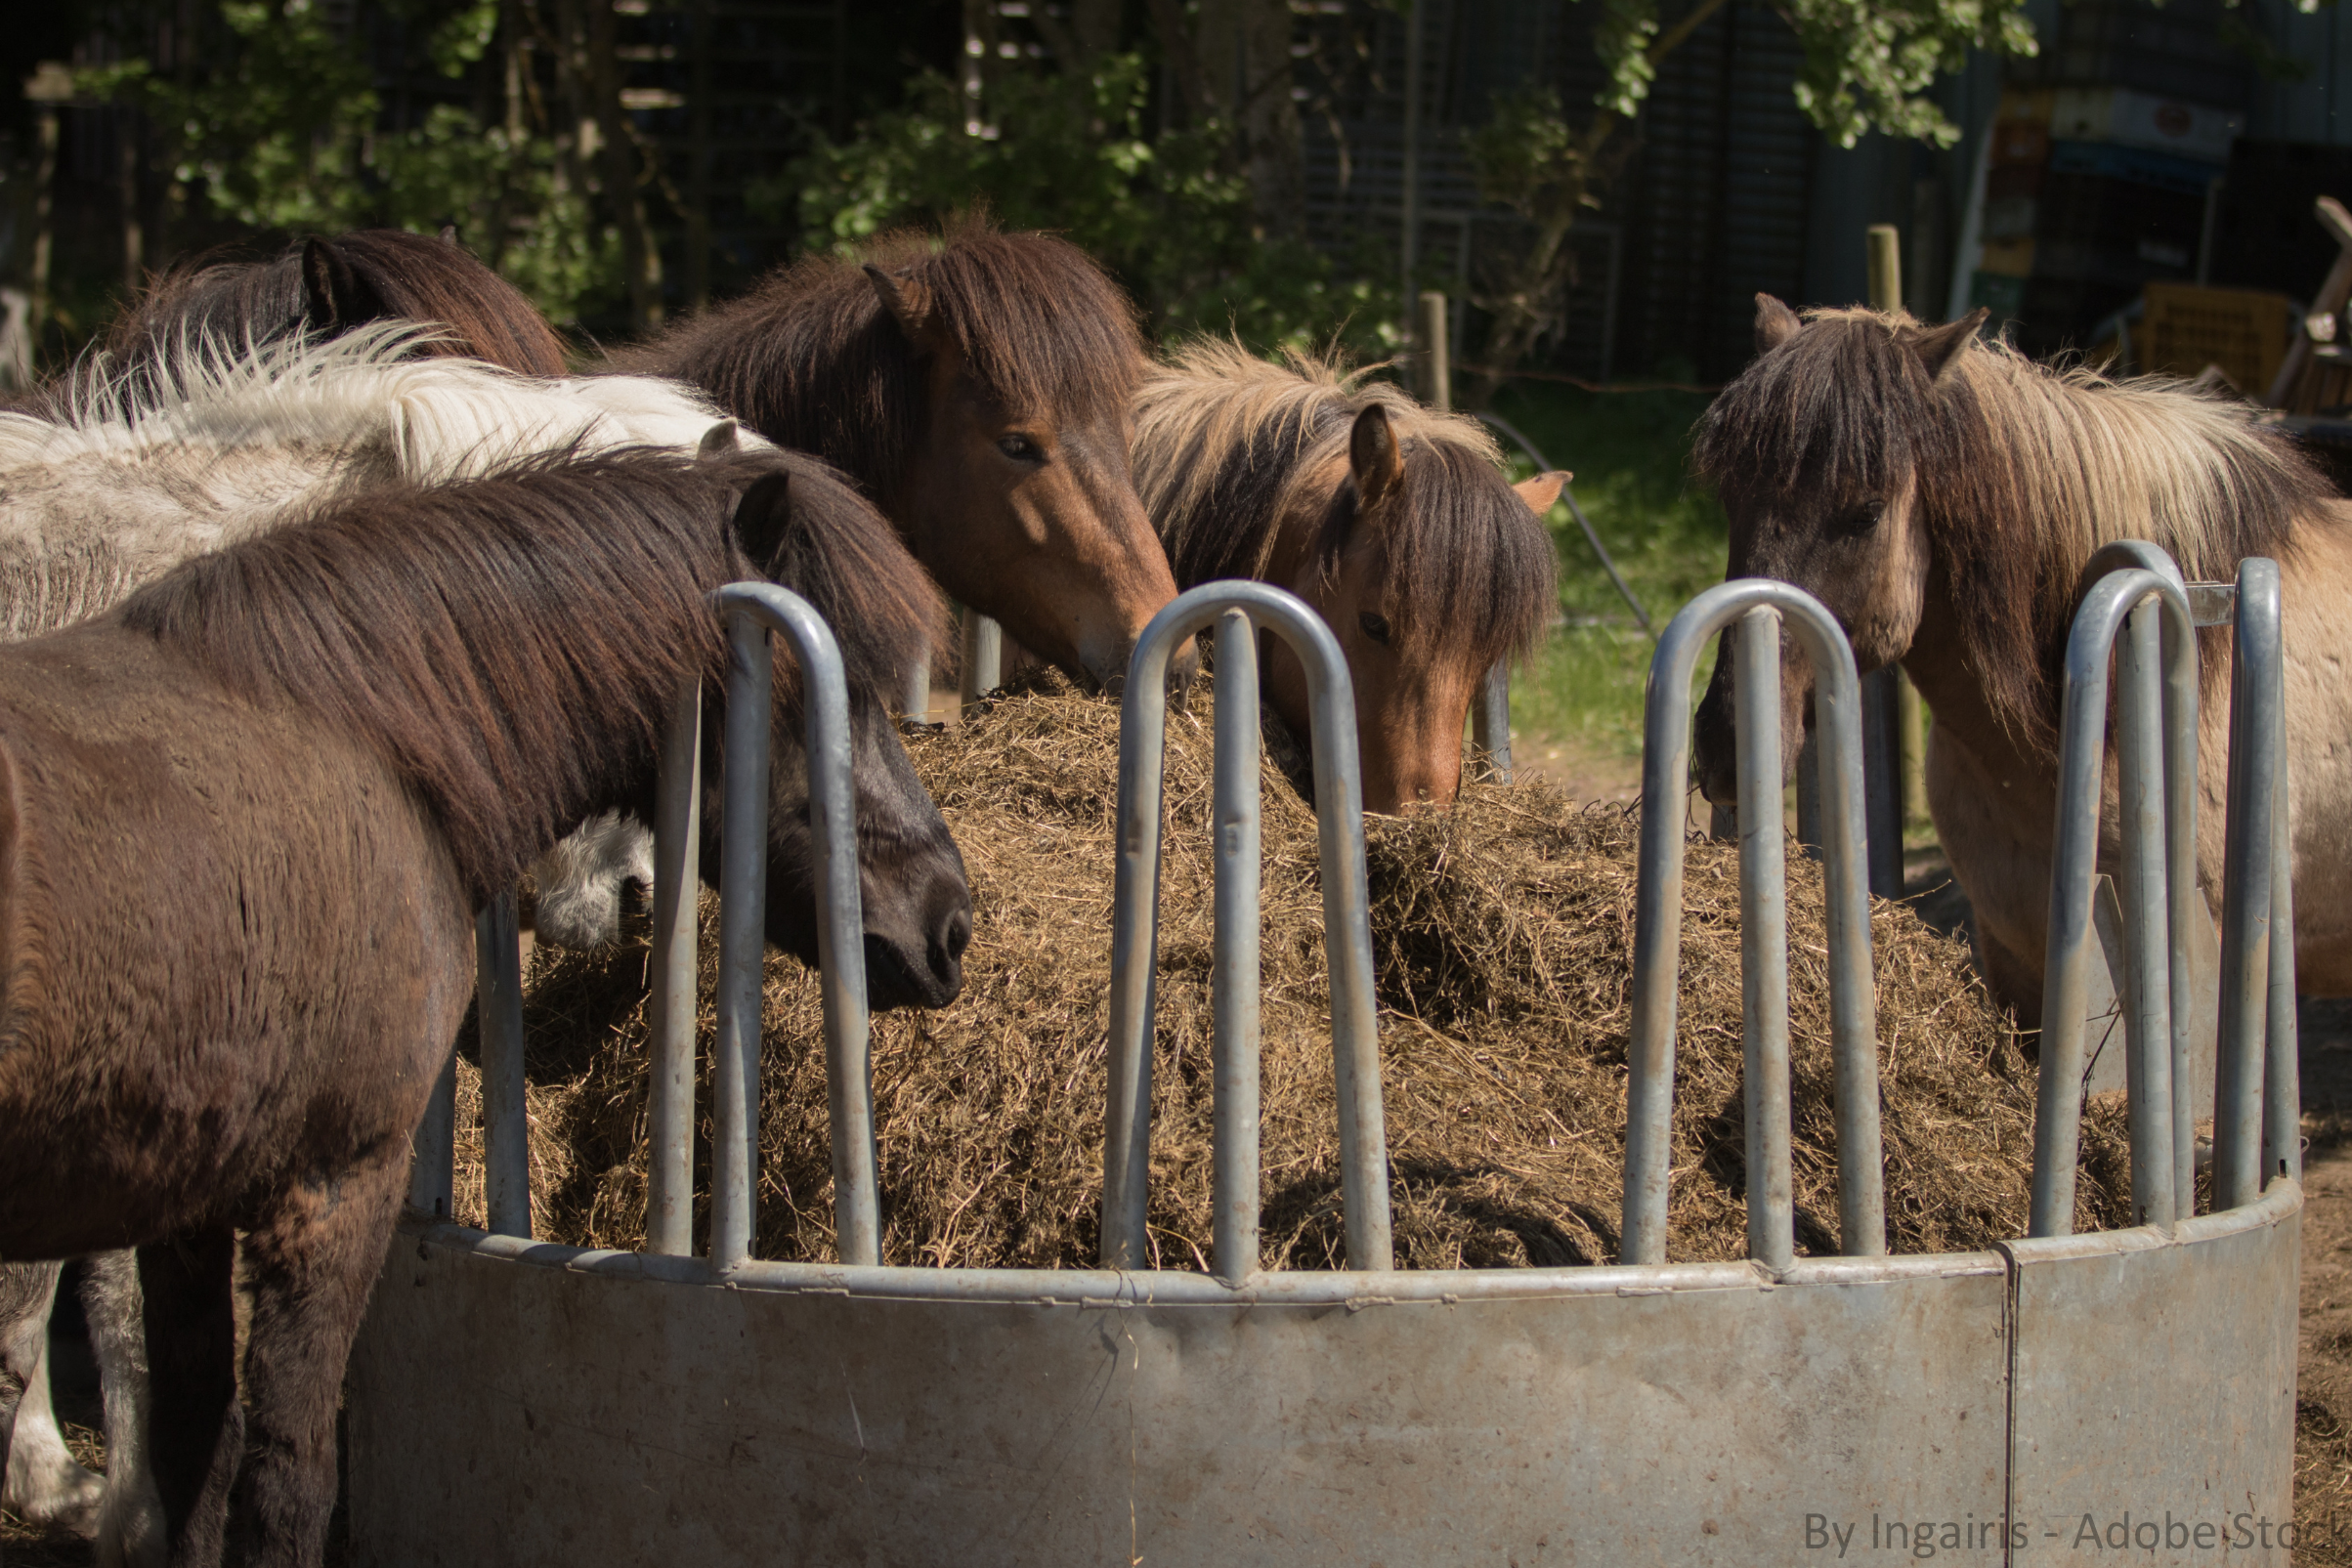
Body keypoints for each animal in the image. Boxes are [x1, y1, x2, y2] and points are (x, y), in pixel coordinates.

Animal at [0, 444, 973, 1568]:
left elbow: (197, 1453)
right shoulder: (336, 1183)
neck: (359, 738)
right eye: (832, 691)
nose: (951, 923)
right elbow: (288, 1475)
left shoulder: (190, 1205)